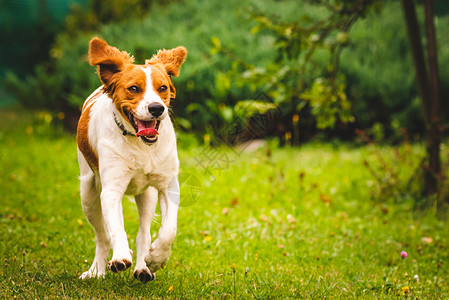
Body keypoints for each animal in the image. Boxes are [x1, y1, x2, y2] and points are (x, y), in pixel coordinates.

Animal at [76, 37, 186, 282]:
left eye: (162, 88)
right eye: (134, 88)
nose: (156, 108)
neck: (141, 146)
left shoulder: (167, 185)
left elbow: (169, 230)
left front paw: (156, 259)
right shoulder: (111, 188)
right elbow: (115, 228)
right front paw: (119, 257)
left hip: (146, 196)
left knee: (143, 232)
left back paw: (143, 267)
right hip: (88, 194)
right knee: (102, 235)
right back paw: (97, 270)